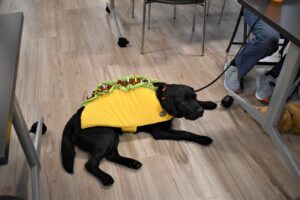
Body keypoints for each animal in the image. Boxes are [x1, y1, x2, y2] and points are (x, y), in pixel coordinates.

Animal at [61, 81, 216, 186]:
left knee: (112, 156)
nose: (200, 111)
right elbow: (185, 133)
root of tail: (75, 118)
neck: (161, 98)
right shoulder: (160, 132)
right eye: (183, 102)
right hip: (106, 135)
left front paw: (209, 103)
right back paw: (106, 178)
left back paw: (132, 163)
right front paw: (203, 138)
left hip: (113, 136)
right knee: (91, 163)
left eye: (195, 97)